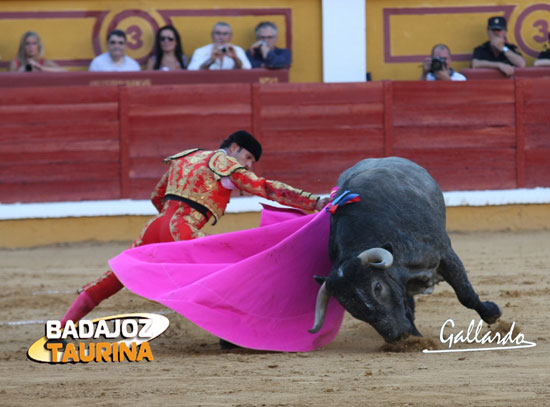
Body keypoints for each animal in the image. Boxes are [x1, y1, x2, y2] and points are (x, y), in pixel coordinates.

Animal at [312, 158, 502, 342]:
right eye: (348, 304)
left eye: (377, 286)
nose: (397, 336)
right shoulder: (401, 281)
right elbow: (407, 305)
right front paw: (414, 338)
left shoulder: (445, 254)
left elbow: (466, 294)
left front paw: (492, 313)